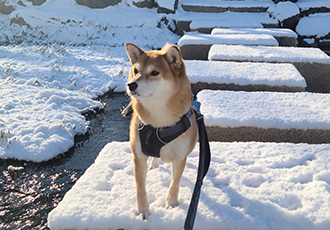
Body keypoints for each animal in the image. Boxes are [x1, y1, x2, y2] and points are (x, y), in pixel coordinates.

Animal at [125, 42, 199, 220]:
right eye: (136, 70)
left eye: (154, 73)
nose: (131, 84)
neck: (158, 121)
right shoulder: (139, 156)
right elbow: (140, 189)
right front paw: (143, 211)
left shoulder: (180, 157)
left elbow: (174, 183)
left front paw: (171, 204)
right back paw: (154, 164)